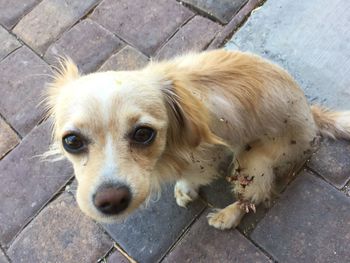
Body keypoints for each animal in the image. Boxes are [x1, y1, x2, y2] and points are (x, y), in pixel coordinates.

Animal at [43, 50, 350, 231]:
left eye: (143, 134)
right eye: (72, 141)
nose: (111, 201)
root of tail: (311, 113)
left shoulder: (205, 158)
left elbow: (192, 176)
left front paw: (185, 188)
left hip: (253, 160)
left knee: (256, 195)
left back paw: (227, 216)